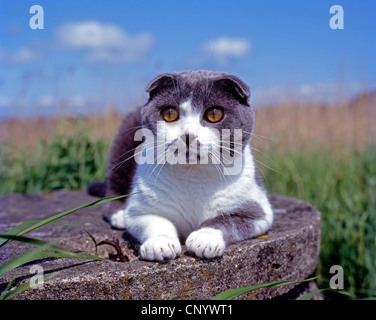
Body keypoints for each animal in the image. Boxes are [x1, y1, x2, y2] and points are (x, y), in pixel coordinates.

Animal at [89, 70, 274, 260]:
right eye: (170, 113)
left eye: (214, 114)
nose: (188, 135)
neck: (193, 175)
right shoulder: (138, 210)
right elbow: (154, 220)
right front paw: (160, 244)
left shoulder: (258, 211)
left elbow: (228, 220)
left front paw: (204, 238)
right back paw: (119, 215)